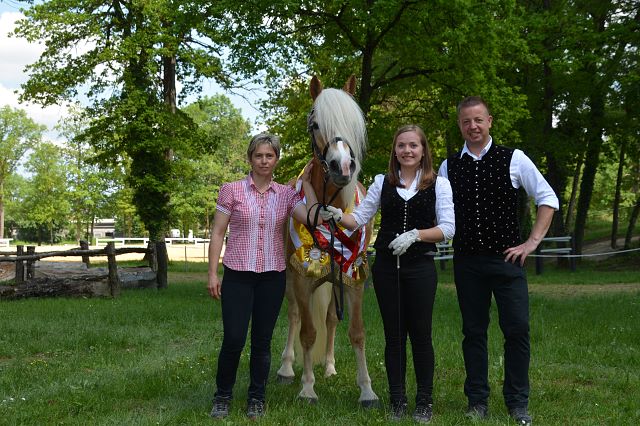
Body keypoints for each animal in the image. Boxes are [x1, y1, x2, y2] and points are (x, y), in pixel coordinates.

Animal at [276, 75, 380, 408]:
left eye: (354, 124)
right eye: (315, 124)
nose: (342, 167)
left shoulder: (355, 277)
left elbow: (357, 332)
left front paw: (366, 390)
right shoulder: (301, 277)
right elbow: (308, 333)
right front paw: (308, 388)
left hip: (335, 281)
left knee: (332, 319)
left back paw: (331, 367)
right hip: (292, 280)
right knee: (295, 316)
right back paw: (286, 368)